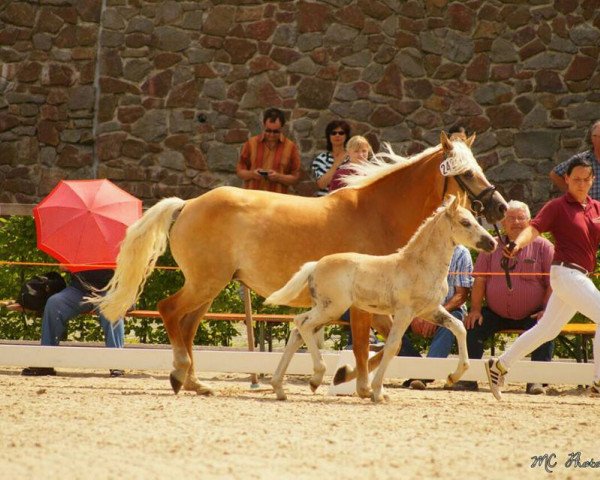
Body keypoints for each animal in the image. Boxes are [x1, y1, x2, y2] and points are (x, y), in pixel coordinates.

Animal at [268, 195, 496, 402]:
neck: (419, 266)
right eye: (465, 222)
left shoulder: (429, 310)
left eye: (476, 219)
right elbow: (393, 346)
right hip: (331, 308)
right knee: (301, 323)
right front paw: (377, 392)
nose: (492, 243)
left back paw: (280, 388)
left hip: (326, 310)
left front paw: (452, 376)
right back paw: (315, 377)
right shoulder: (405, 312)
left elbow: (459, 327)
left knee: (297, 332)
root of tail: (315, 264)